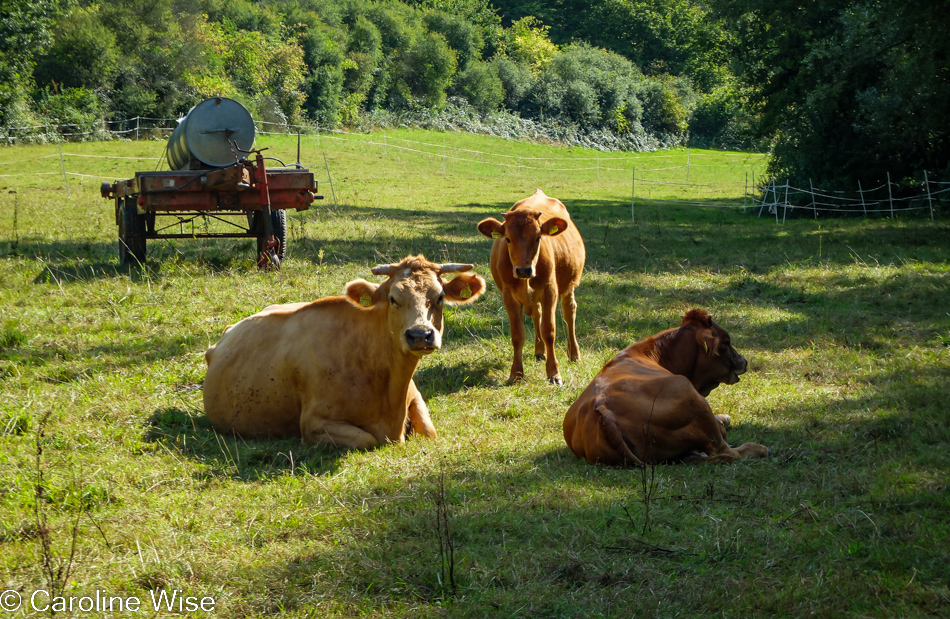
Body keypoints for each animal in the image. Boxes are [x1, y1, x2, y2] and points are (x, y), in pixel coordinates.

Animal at [203, 254, 484, 448]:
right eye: (393, 298)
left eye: (439, 297)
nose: (419, 335)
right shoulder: (313, 423)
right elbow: (366, 439)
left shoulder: (415, 397)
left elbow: (428, 431)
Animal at [480, 186, 584, 386]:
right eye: (507, 239)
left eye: (538, 237)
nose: (523, 270)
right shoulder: (508, 295)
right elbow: (518, 334)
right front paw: (516, 373)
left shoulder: (550, 290)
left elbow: (549, 330)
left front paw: (554, 373)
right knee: (537, 314)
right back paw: (539, 351)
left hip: (569, 285)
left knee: (570, 313)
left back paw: (574, 354)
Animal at [564, 310, 772, 464]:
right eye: (726, 342)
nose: (744, 361)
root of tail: (602, 411)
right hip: (689, 393)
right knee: (725, 451)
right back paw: (760, 449)